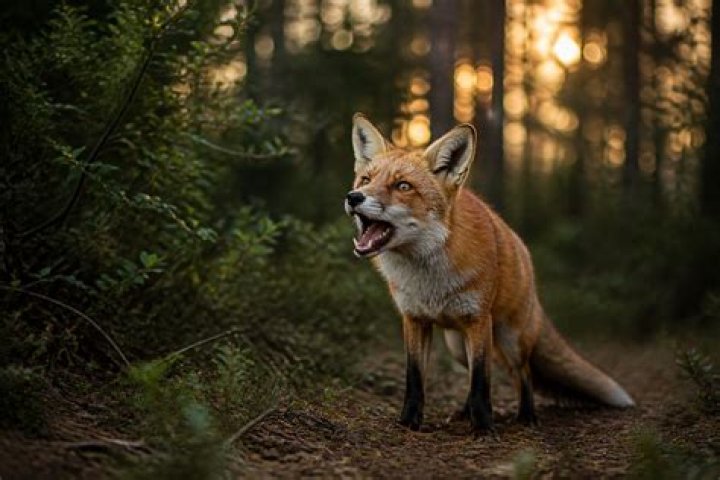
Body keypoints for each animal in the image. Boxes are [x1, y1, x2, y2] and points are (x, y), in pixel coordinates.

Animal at [344, 113, 635, 433]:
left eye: (403, 186)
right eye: (366, 180)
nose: (353, 197)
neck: (429, 278)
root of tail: (524, 253)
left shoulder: (478, 320)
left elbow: (481, 382)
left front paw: (484, 428)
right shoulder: (415, 320)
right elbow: (416, 380)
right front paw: (409, 423)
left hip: (510, 340)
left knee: (522, 373)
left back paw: (526, 416)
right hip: (458, 346)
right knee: (476, 375)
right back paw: (463, 413)